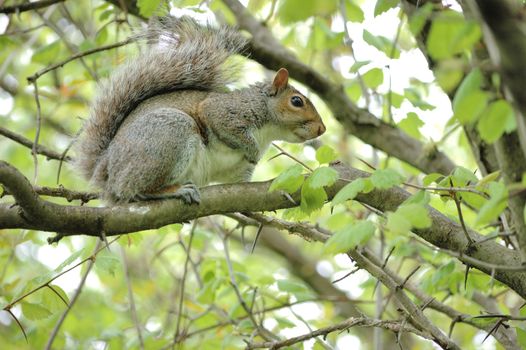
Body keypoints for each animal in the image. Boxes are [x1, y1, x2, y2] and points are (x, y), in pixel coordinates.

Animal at [74, 16, 326, 204]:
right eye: (297, 101)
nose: (322, 129)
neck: (268, 132)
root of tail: (105, 173)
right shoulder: (224, 111)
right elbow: (222, 122)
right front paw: (252, 149)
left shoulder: (238, 172)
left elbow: (240, 183)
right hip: (168, 134)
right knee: (131, 188)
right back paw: (174, 190)